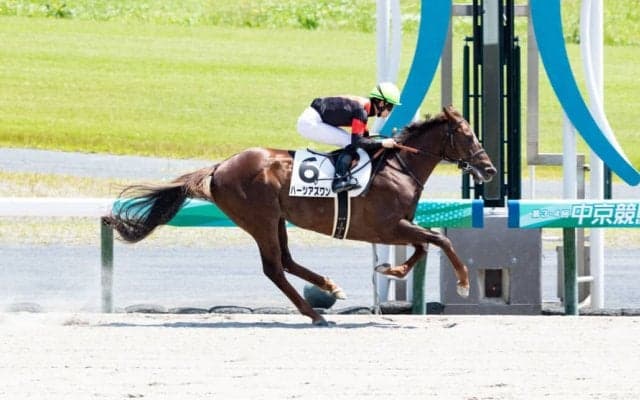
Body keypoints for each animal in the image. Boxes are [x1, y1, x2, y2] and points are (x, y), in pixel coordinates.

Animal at [105, 105, 496, 325]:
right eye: (467, 135)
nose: (489, 169)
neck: (398, 165)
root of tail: (219, 167)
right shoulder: (387, 226)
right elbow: (439, 239)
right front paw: (463, 283)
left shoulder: (397, 227)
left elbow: (425, 245)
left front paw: (391, 269)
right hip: (259, 220)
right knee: (274, 268)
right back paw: (315, 314)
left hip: (277, 219)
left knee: (287, 261)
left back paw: (330, 288)